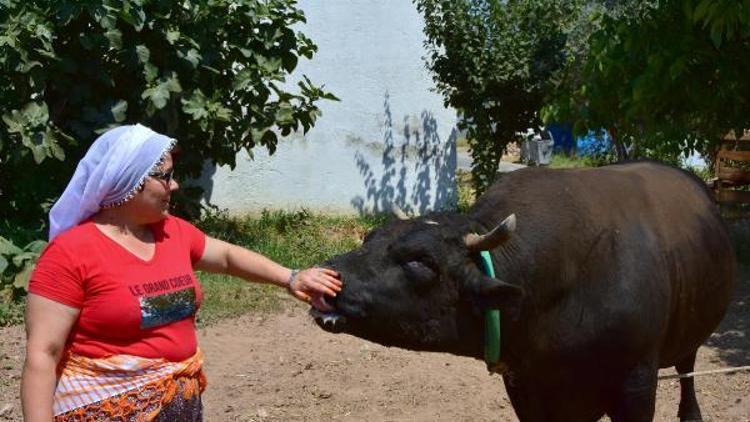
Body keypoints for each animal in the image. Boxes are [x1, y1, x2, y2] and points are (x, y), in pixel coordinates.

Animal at [314, 162, 736, 422]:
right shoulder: (524, 386)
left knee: (687, 368)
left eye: (422, 261)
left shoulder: (637, 385)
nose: (326, 278)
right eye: (369, 237)